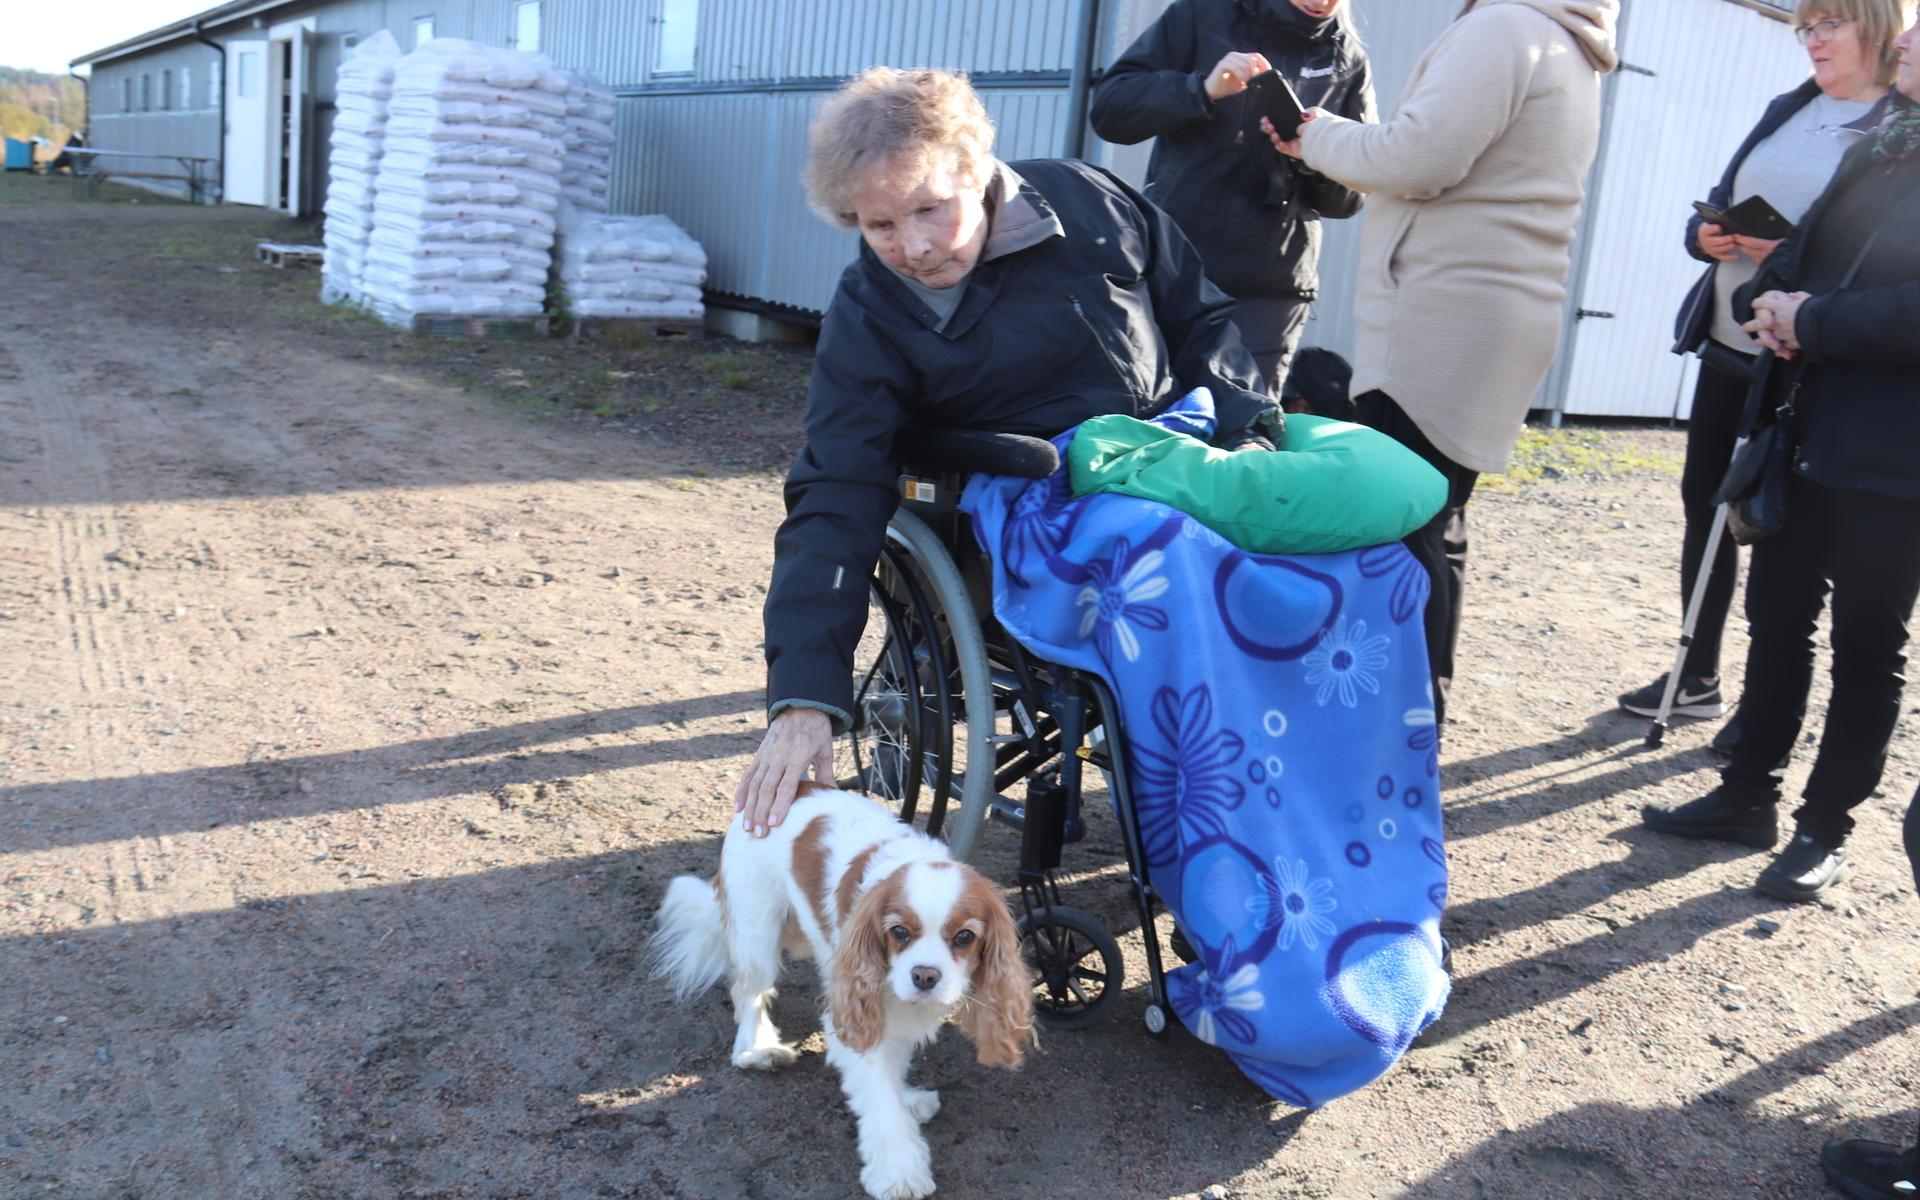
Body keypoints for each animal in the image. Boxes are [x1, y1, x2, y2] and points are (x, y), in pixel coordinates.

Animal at [648, 783, 1036, 1190]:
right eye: (899, 931)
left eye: (964, 937)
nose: (924, 976)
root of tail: (796, 787)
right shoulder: (854, 1008)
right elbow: (881, 1100)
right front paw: (899, 1173)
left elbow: (893, 1070)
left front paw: (906, 1100)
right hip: (757, 932)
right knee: (748, 994)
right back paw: (757, 1050)